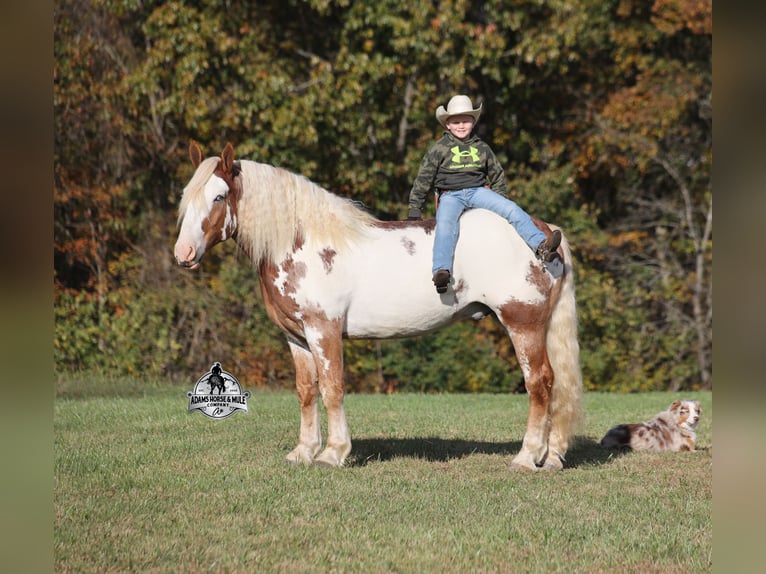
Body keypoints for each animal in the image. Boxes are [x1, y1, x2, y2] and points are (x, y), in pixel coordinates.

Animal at [174, 142, 583, 471]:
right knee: (557, 384)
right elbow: (307, 391)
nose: (183, 254)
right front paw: (303, 452)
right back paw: (552, 457)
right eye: (187, 196)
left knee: (539, 383)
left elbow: (332, 388)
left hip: (522, 322)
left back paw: (526, 458)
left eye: (219, 197)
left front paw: (332, 454)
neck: (304, 242)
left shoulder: (324, 330)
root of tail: (545, 236)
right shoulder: (297, 338)